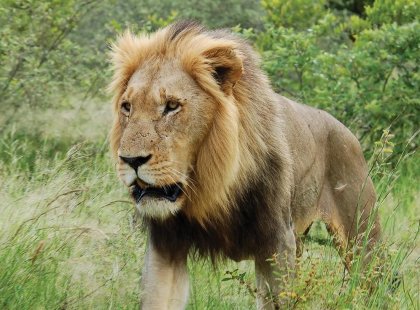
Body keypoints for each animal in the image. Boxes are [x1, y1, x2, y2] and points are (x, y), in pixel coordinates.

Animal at [109, 20, 380, 308]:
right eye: (127, 107)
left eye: (171, 106)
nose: (130, 160)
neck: (211, 187)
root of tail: (349, 133)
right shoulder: (166, 245)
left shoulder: (277, 244)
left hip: (363, 241)